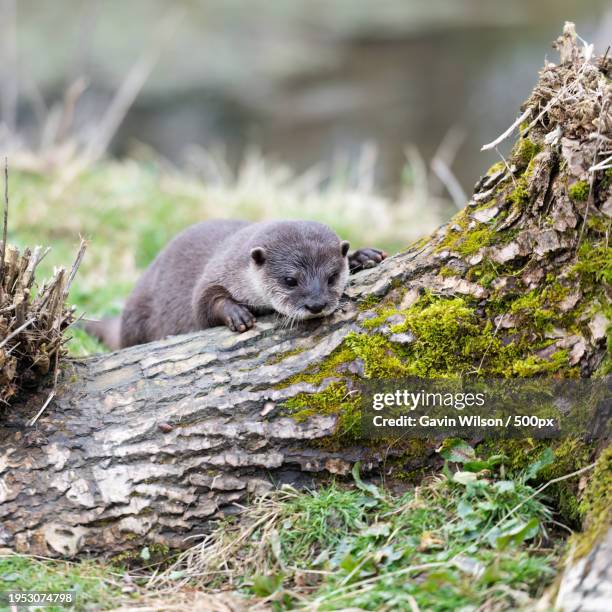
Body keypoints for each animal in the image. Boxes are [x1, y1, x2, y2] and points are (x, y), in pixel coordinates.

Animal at [85, 221, 388, 352]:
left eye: (332, 277)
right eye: (290, 280)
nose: (316, 304)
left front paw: (362, 256)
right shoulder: (217, 270)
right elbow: (203, 303)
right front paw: (236, 314)